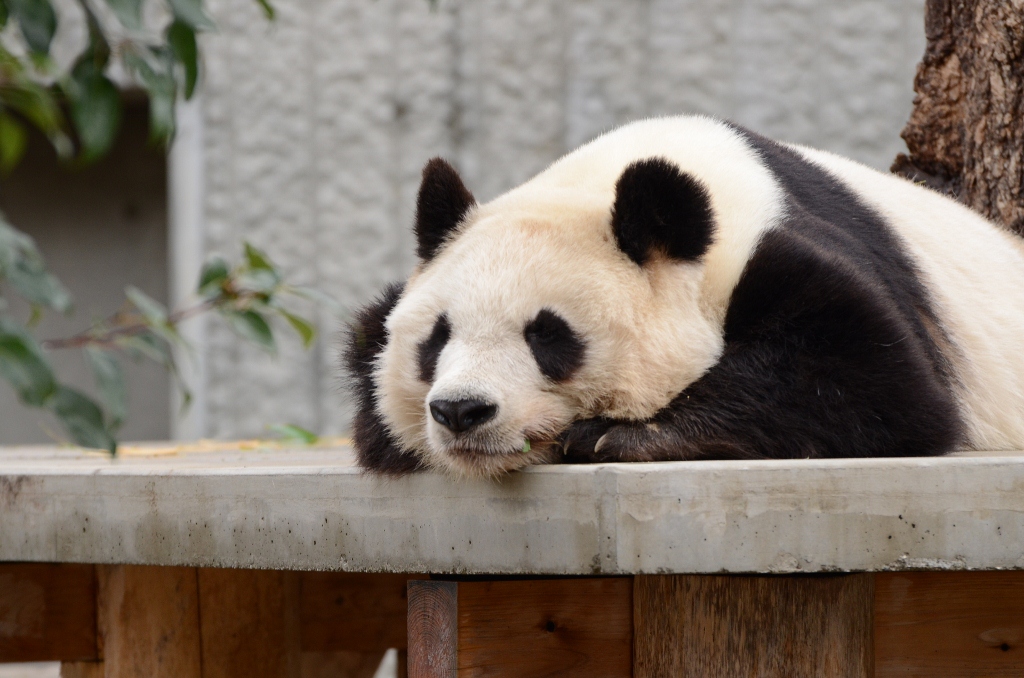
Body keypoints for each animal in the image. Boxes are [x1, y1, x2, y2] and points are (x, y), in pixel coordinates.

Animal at [344, 115, 1024, 477]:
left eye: (548, 335)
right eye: (438, 338)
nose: (461, 410)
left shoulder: (778, 250)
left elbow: (877, 384)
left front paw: (617, 435)